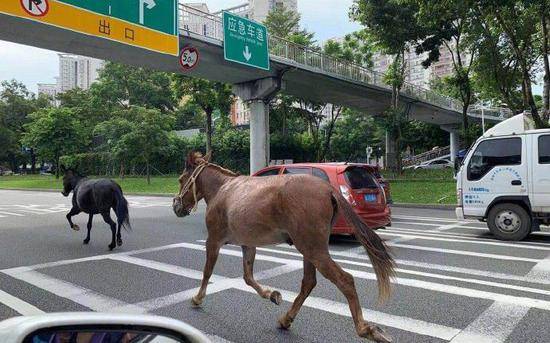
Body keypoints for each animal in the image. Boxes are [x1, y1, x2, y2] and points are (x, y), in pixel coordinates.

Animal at [174, 153, 396, 343]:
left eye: (181, 179)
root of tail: (328, 189)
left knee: (345, 280)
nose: (176, 206)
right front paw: (272, 295)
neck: (223, 190)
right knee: (308, 282)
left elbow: (207, 272)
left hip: (313, 249)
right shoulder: (248, 243)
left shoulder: (213, 240)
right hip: (309, 249)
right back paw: (286, 319)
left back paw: (365, 329)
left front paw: (197, 298)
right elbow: (248, 277)